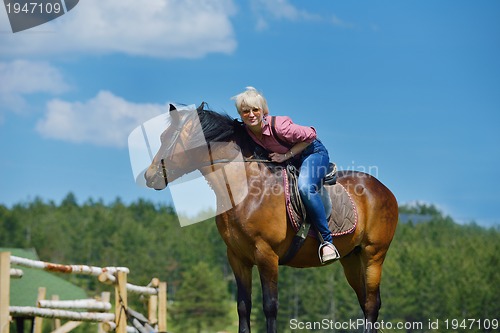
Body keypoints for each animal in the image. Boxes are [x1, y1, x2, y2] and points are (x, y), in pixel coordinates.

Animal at [145, 105, 398, 332]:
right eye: (161, 136)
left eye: (170, 138)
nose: (149, 176)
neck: (246, 188)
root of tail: (384, 190)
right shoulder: (237, 258)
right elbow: (243, 307)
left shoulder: (267, 255)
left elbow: (270, 307)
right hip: (351, 258)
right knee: (364, 304)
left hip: (373, 254)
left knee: (372, 304)